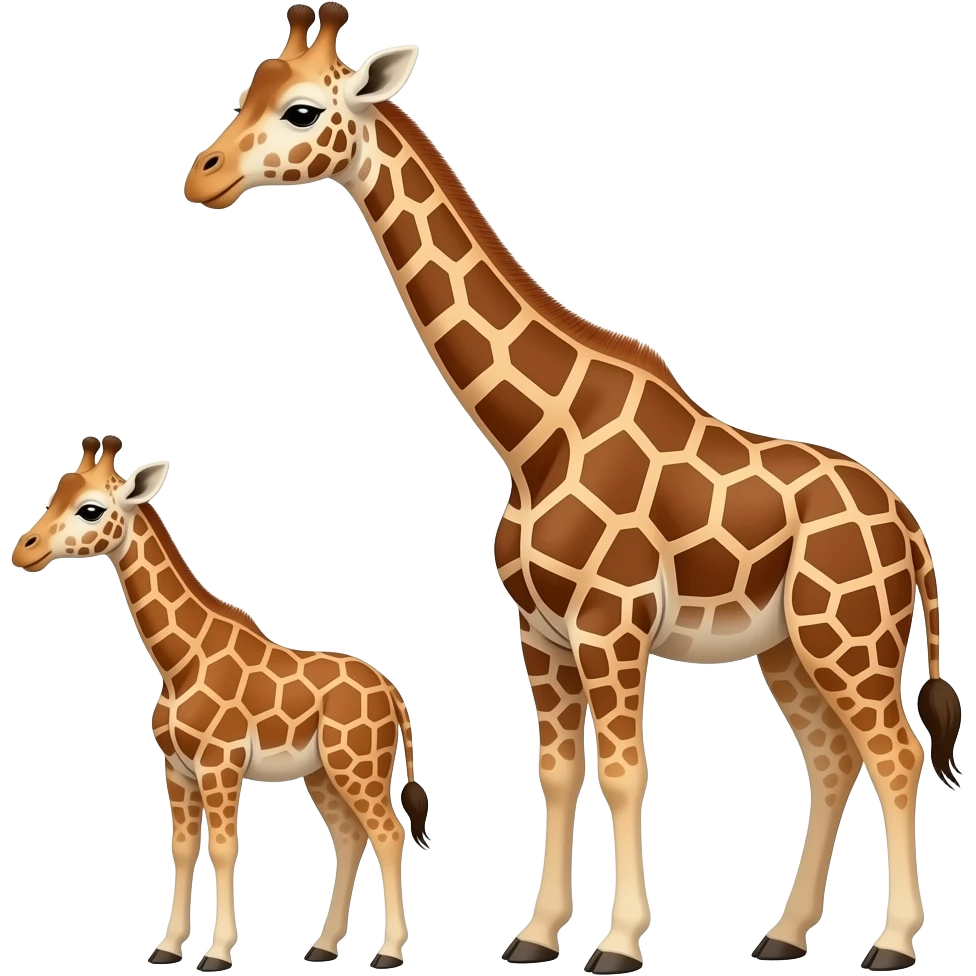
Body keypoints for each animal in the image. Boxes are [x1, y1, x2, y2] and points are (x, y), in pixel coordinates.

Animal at [9, 435, 431, 973]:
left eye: (90, 508)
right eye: (53, 494)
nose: (24, 550)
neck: (178, 663)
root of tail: (392, 691)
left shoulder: (221, 764)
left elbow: (225, 849)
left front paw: (216, 953)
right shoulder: (177, 769)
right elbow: (183, 849)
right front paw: (168, 948)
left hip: (358, 765)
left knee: (389, 834)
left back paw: (388, 953)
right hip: (322, 771)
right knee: (350, 837)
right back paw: (322, 946)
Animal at [181, 4, 962, 973]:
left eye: (300, 110)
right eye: (247, 89)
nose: (203, 174)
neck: (532, 437)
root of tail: (911, 528)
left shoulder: (612, 625)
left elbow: (624, 775)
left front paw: (619, 943)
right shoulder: (542, 633)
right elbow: (558, 774)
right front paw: (536, 934)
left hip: (849, 638)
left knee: (895, 755)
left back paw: (892, 942)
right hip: (789, 645)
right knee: (832, 761)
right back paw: (783, 934)